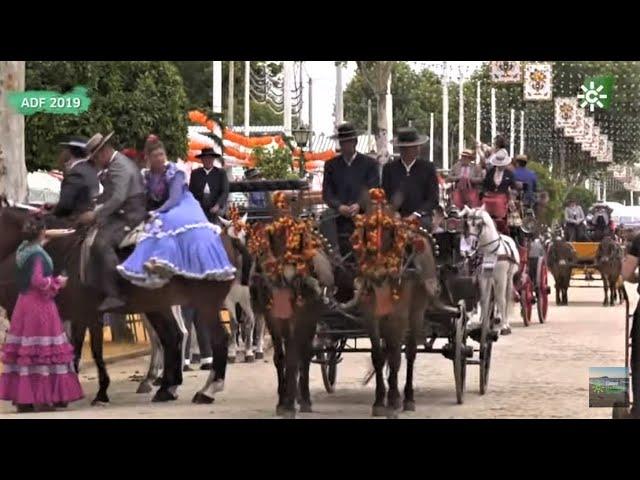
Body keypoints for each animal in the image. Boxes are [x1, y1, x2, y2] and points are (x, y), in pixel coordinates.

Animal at [0, 201, 234, 406]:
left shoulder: (89, 314)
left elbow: (93, 351)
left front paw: (100, 393)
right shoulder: (75, 315)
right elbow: (73, 348)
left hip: (204, 304)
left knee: (217, 338)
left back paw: (207, 390)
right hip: (159, 306)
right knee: (173, 336)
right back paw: (166, 388)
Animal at [462, 204, 524, 336]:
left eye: (480, 224)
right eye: (468, 223)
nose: (471, 246)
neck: (490, 251)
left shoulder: (501, 277)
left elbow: (501, 299)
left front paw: (505, 326)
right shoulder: (483, 277)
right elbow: (484, 299)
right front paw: (483, 324)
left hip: (508, 277)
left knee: (504, 296)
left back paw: (502, 320)